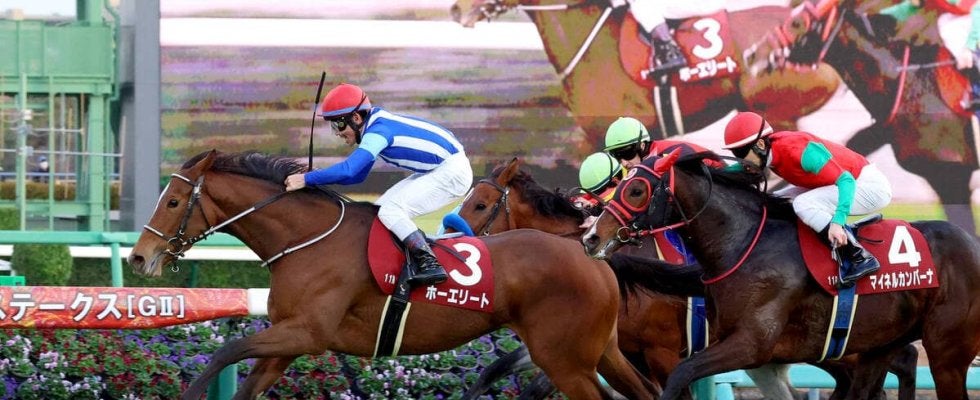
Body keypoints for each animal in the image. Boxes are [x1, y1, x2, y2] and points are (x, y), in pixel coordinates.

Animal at [125, 150, 661, 400]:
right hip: (598, 350)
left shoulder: (306, 331)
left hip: (564, 359)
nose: (139, 257)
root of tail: (590, 255)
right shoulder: (291, 340)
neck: (309, 240)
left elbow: (226, 350)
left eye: (173, 200)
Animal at [455, 157, 917, 400]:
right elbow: (502, 371)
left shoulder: (660, 350)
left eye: (480, 204)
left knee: (900, 358)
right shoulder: (612, 346)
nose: (450, 237)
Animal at [582, 150, 980, 400]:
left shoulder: (747, 345)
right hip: (874, 345)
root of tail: (972, 243)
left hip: (945, 352)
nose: (592, 237)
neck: (741, 244)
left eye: (636, 190)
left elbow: (681, 376)